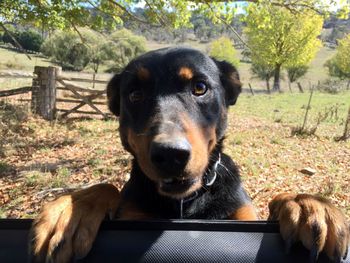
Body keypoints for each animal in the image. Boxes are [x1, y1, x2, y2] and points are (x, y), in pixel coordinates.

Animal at [31, 48, 348, 263]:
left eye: (200, 87)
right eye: (134, 95)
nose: (170, 154)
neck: (185, 203)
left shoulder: (244, 218)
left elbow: (277, 201)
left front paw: (305, 205)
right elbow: (107, 188)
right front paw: (74, 208)